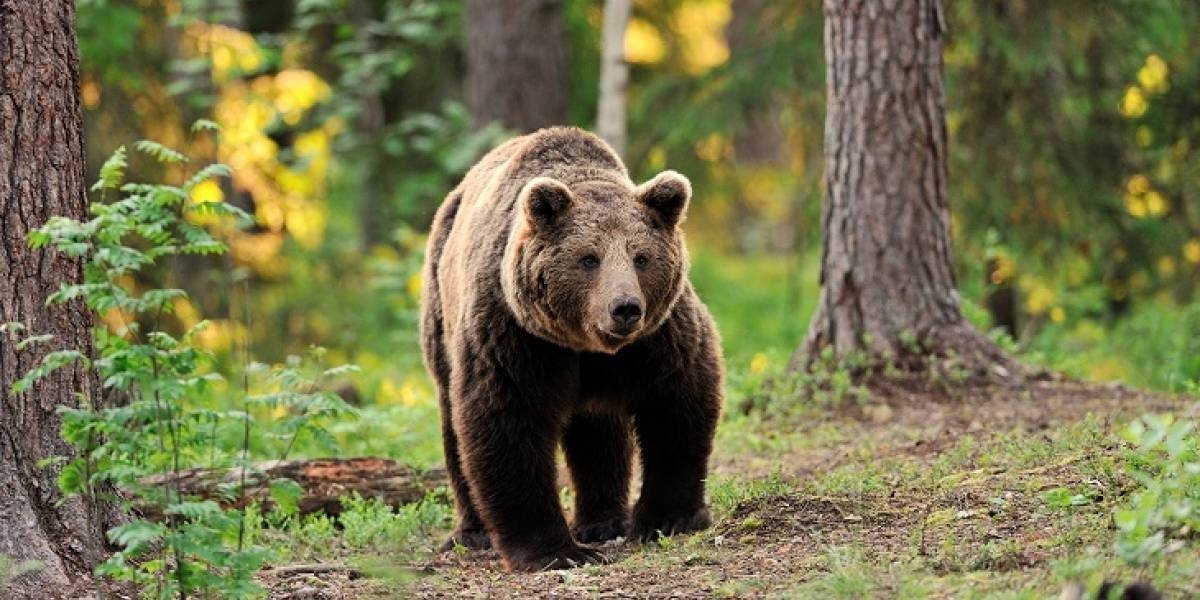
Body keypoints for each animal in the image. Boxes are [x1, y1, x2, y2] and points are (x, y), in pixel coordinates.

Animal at [422, 126, 720, 571]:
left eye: (641, 257)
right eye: (589, 258)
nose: (625, 308)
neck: (585, 344)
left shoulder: (658, 337)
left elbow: (676, 405)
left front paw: (668, 518)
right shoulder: (516, 336)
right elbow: (508, 423)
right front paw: (554, 550)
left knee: (598, 430)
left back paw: (603, 521)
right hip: (442, 314)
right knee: (454, 426)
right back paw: (473, 532)